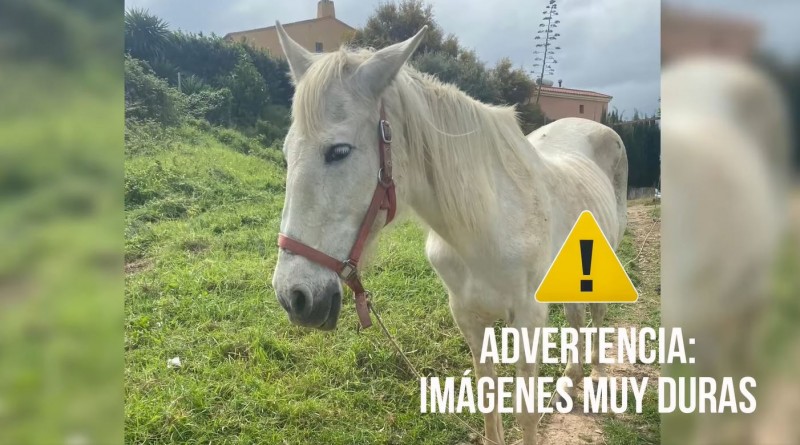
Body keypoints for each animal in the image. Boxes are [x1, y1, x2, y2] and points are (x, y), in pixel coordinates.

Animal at [270, 24, 628, 445]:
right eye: (287, 153)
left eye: (339, 151)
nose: (294, 297)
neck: (487, 226)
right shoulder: (469, 318)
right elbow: (489, 402)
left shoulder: (528, 318)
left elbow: (525, 413)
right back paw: (570, 380)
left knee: (595, 314)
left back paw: (597, 377)